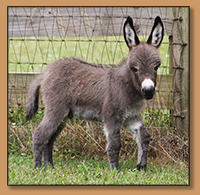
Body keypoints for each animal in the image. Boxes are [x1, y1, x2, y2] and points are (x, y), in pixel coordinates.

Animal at [26, 16, 164, 171]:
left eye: (156, 67)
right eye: (134, 69)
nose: (148, 91)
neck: (127, 85)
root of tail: (45, 73)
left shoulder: (132, 116)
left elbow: (144, 136)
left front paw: (141, 167)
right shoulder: (112, 116)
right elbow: (114, 144)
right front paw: (115, 170)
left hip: (64, 116)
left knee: (49, 139)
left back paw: (50, 166)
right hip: (56, 109)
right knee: (40, 135)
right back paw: (38, 168)